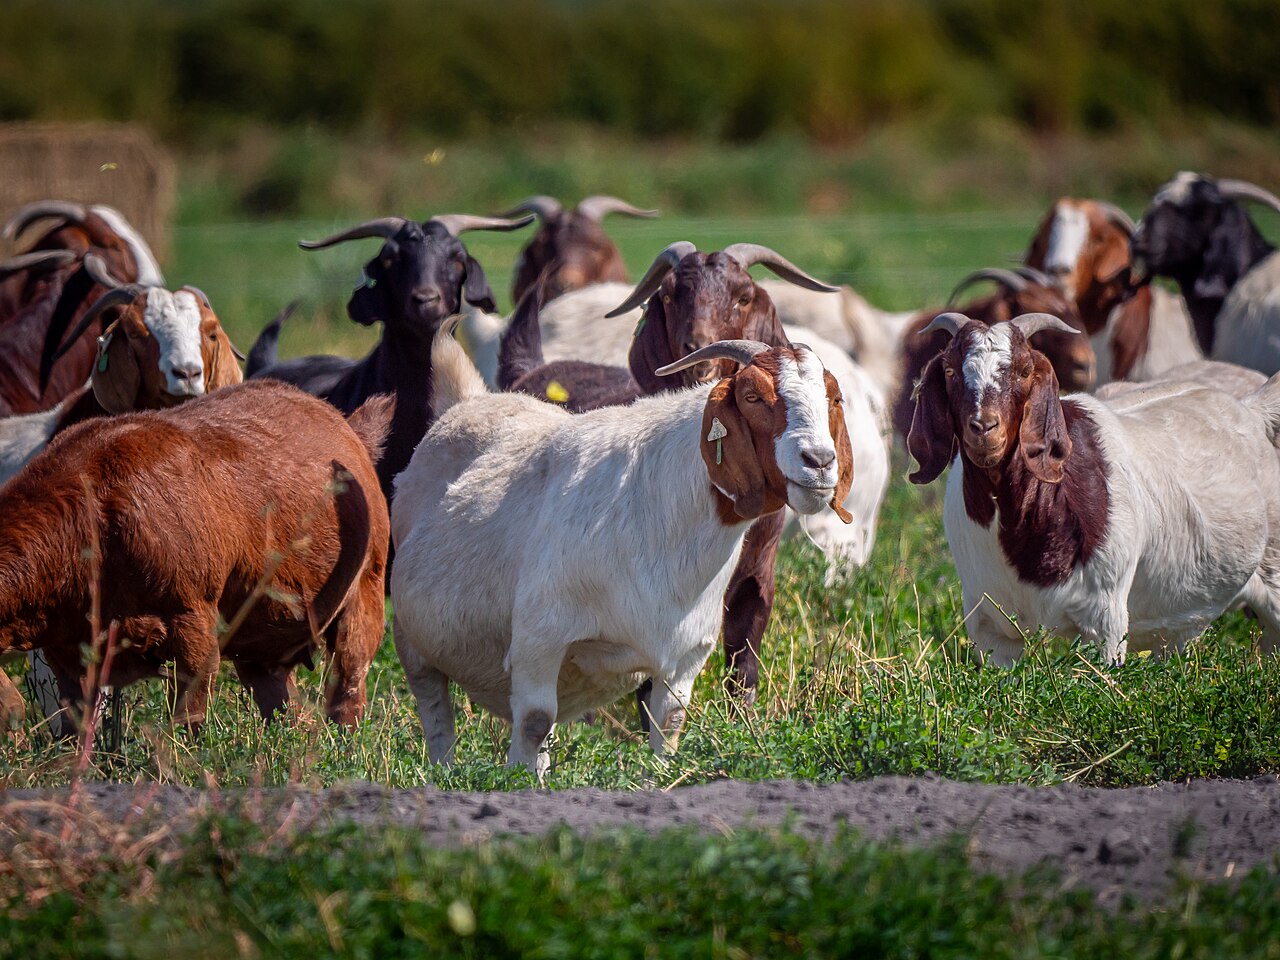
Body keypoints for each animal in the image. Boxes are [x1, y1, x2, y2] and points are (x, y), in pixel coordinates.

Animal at [0, 381, 392, 733]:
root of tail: (346, 426)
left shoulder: (192, 623)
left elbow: (186, 720)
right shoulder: (68, 654)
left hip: (366, 590)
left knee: (348, 683)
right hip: (260, 645)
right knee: (286, 710)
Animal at [391, 329, 853, 775]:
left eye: (833, 398)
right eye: (753, 396)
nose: (818, 461)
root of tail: (466, 399)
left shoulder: (685, 656)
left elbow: (668, 725)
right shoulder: (539, 639)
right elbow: (534, 721)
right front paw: (516, 786)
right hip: (413, 642)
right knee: (437, 713)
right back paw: (446, 774)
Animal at [906, 311, 1280, 665]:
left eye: (1025, 370)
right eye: (950, 371)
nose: (984, 427)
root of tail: (1252, 410)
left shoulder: (1105, 618)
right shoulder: (990, 627)